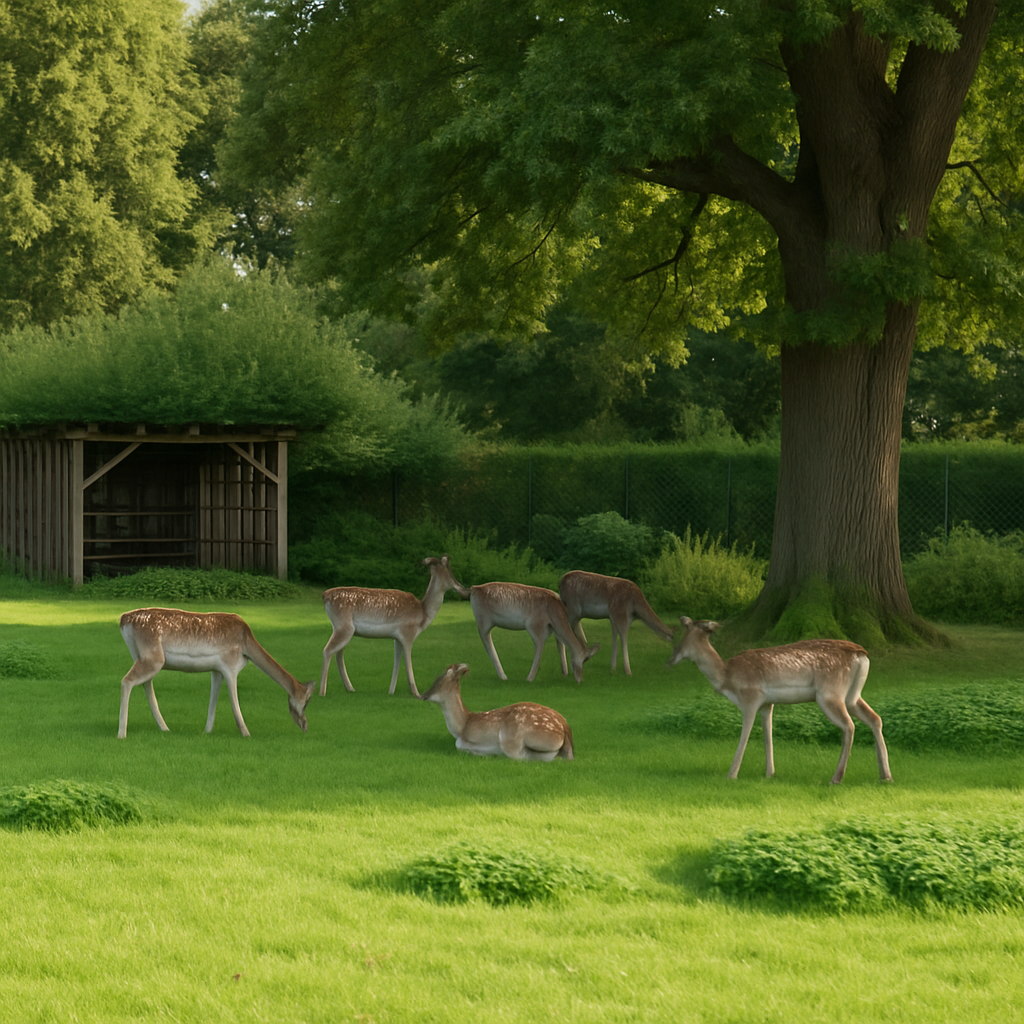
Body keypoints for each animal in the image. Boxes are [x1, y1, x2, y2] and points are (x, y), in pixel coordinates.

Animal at [118, 608, 314, 739]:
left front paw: (207, 731)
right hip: (154, 659)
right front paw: (246, 733)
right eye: (306, 702)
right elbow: (234, 702)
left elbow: (214, 697)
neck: (247, 645)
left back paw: (165, 728)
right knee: (127, 681)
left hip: (139, 655)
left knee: (146, 684)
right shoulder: (230, 665)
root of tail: (124, 620)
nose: (305, 726)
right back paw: (122, 733)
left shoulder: (216, 670)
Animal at [319, 554, 465, 697]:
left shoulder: (397, 638)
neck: (423, 615)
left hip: (343, 629)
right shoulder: (408, 634)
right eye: (449, 569)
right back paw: (322, 692)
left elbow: (397, 661)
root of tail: (324, 595)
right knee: (327, 650)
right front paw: (417, 693)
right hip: (343, 627)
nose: (462, 587)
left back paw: (350, 688)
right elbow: (407, 662)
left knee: (338, 653)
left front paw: (391, 691)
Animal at [420, 663, 575, 760]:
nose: (424, 695)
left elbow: (459, 745)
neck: (461, 726)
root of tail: (565, 728)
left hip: (513, 738)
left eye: (438, 678)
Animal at [466, 581, 599, 684]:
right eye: (584, 659)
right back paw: (503, 676)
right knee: (485, 638)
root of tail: (473, 589)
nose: (580, 680)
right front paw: (529, 678)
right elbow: (539, 645)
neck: (556, 613)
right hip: (484, 620)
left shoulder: (550, 629)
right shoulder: (534, 624)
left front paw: (564, 672)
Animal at [666, 616, 892, 784]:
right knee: (875, 718)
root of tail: (862, 654)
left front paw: (731, 774)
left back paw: (836, 778)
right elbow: (768, 735)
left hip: (829, 693)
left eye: (686, 629)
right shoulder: (768, 703)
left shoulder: (750, 698)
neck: (725, 677)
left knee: (848, 725)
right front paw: (770, 774)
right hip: (852, 695)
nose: (671, 657)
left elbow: (745, 735)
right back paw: (885, 776)